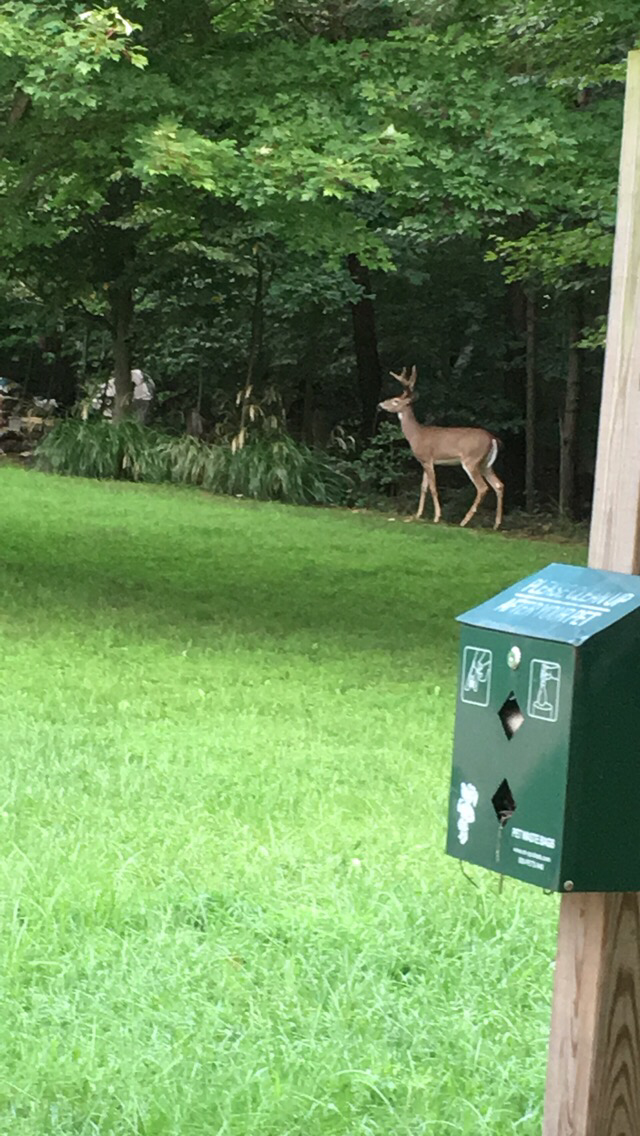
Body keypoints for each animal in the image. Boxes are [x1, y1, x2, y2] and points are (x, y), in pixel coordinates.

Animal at [377, 368, 502, 531]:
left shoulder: (428, 459)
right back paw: (496, 524)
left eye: (395, 401)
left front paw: (436, 517)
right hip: (485, 464)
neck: (416, 435)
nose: (379, 404)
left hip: (472, 460)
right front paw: (418, 515)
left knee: (482, 487)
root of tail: (492, 439)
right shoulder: (423, 462)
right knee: (499, 485)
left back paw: (464, 521)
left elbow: (433, 487)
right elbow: (423, 487)